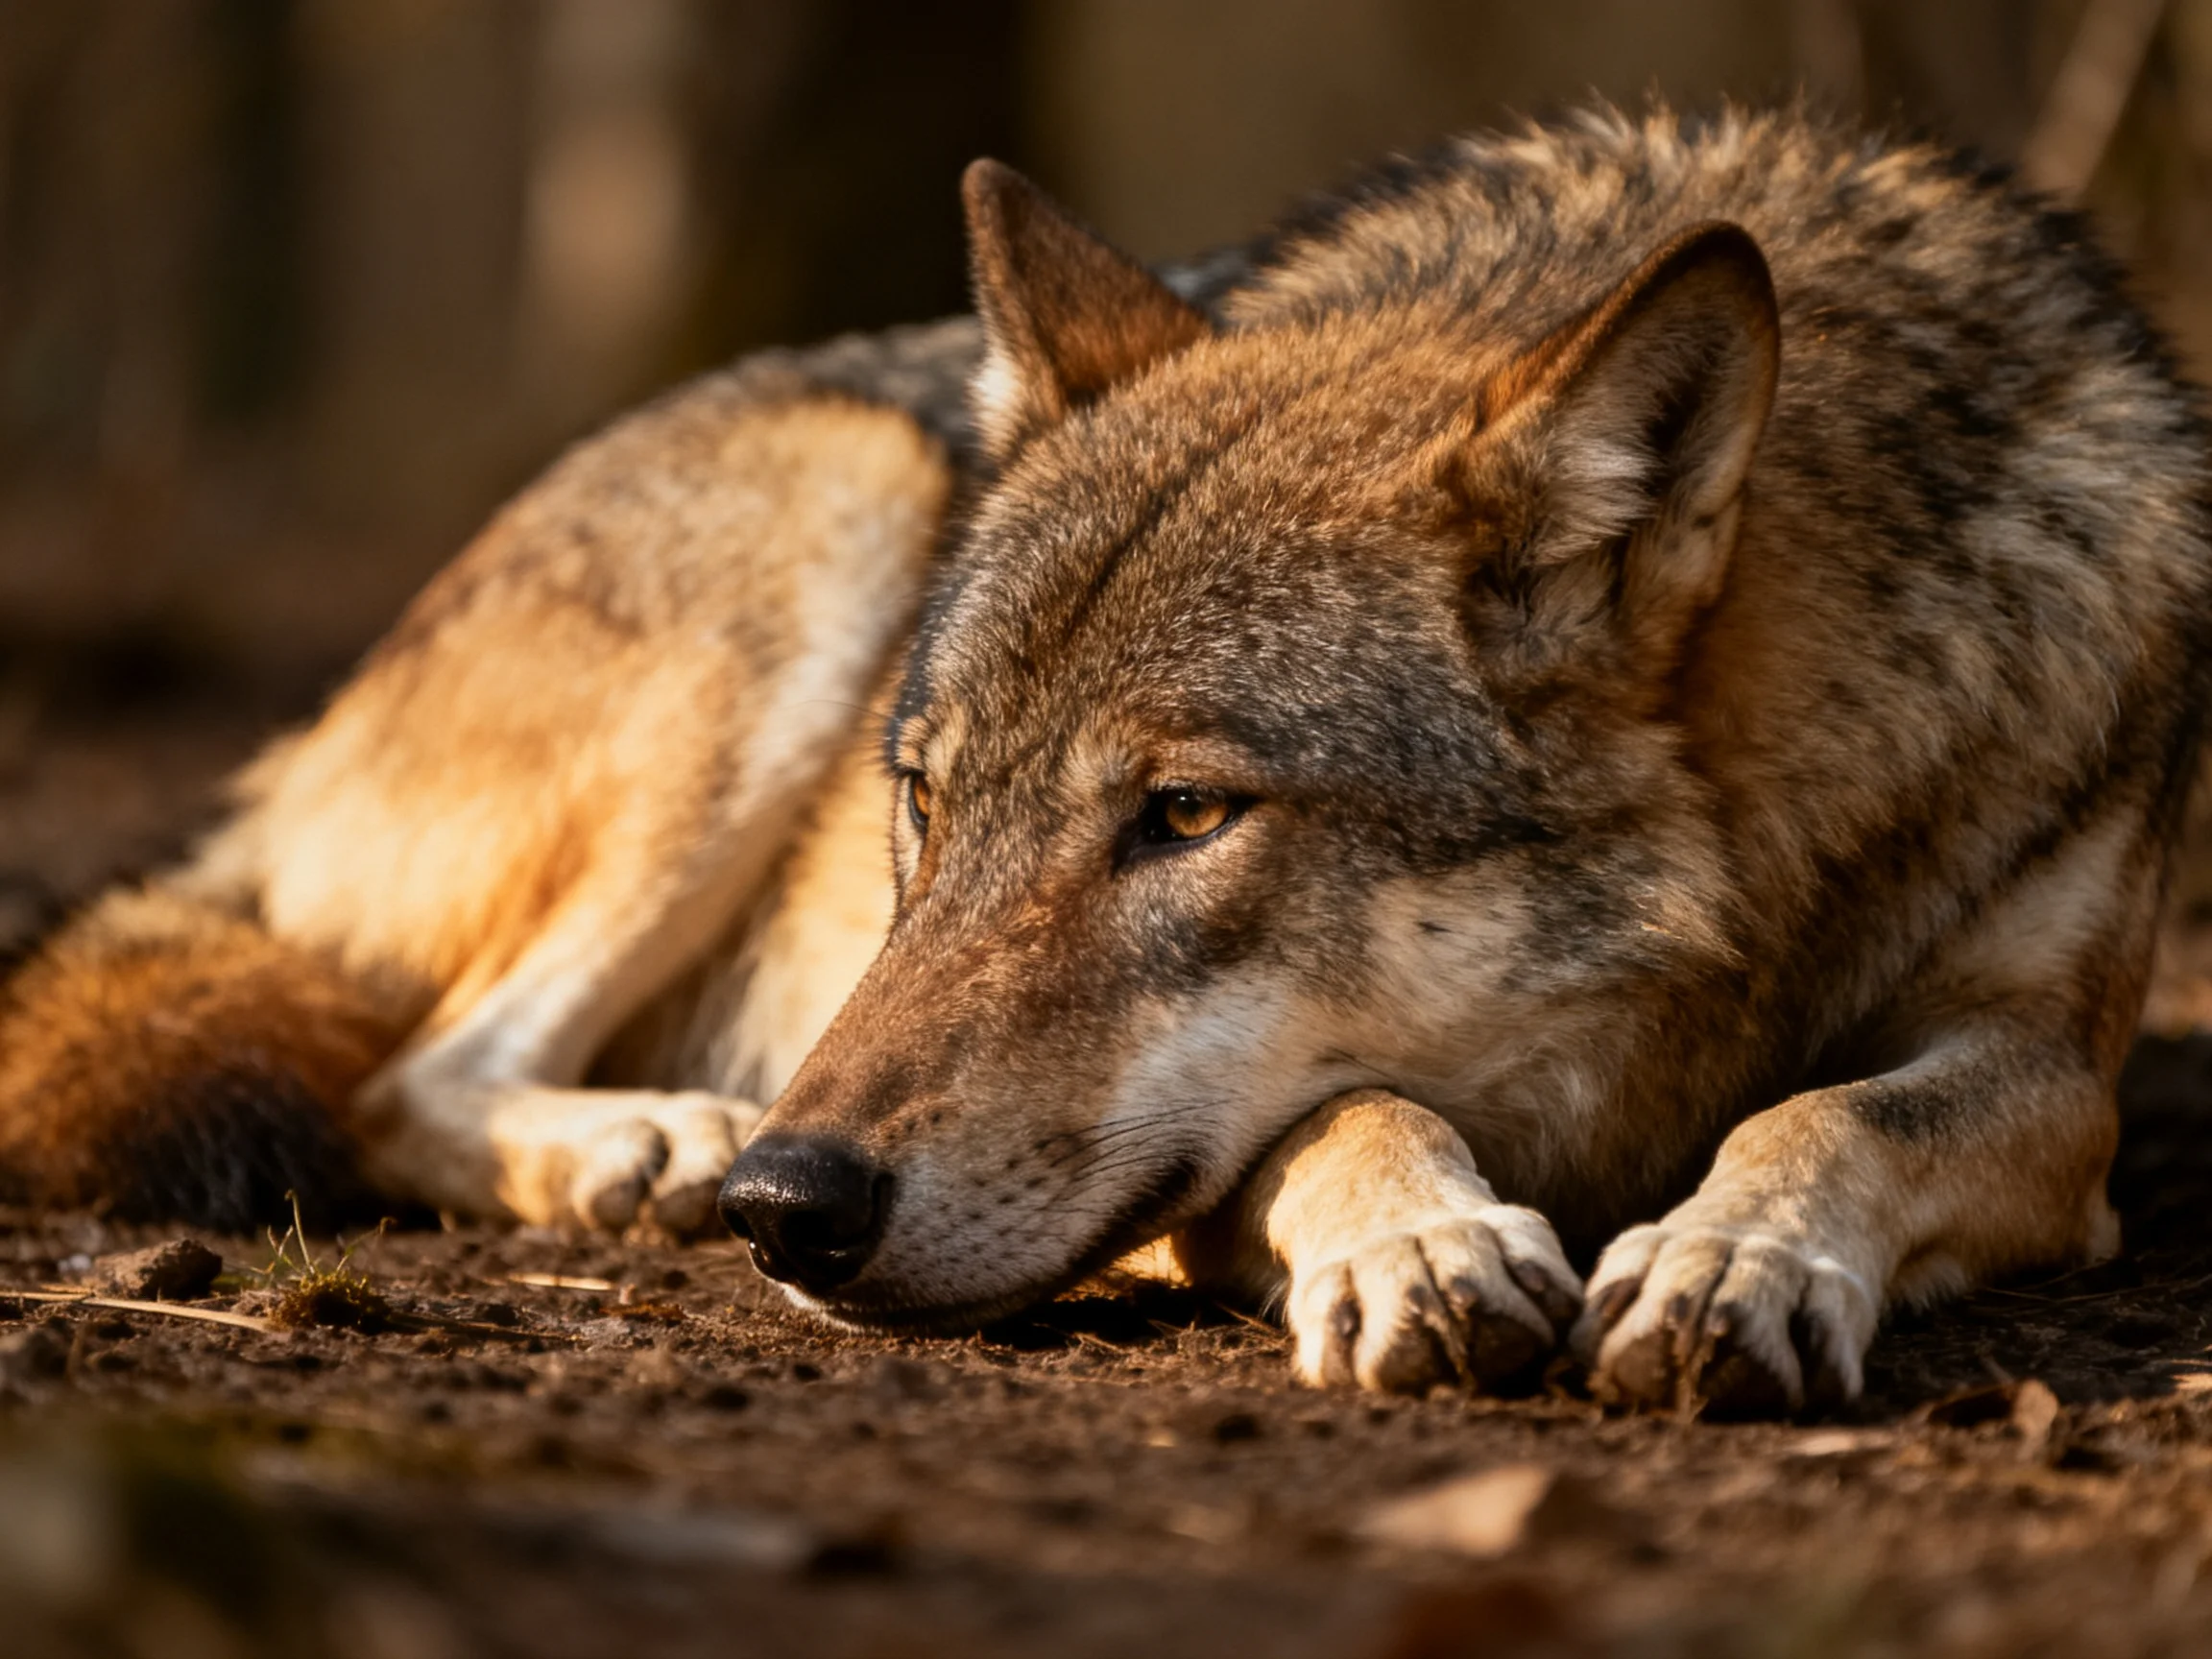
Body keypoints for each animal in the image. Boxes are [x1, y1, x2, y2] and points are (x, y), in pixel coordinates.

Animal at [4, 105, 2206, 1415]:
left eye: (1185, 816)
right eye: (925, 799)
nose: (791, 1204)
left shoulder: (2057, 1078)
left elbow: (1835, 1113)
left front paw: (1731, 1253)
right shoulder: (1196, 1170)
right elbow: (1342, 1107)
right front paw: (1424, 1238)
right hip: (835, 511)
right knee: (399, 1070)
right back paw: (645, 1147)